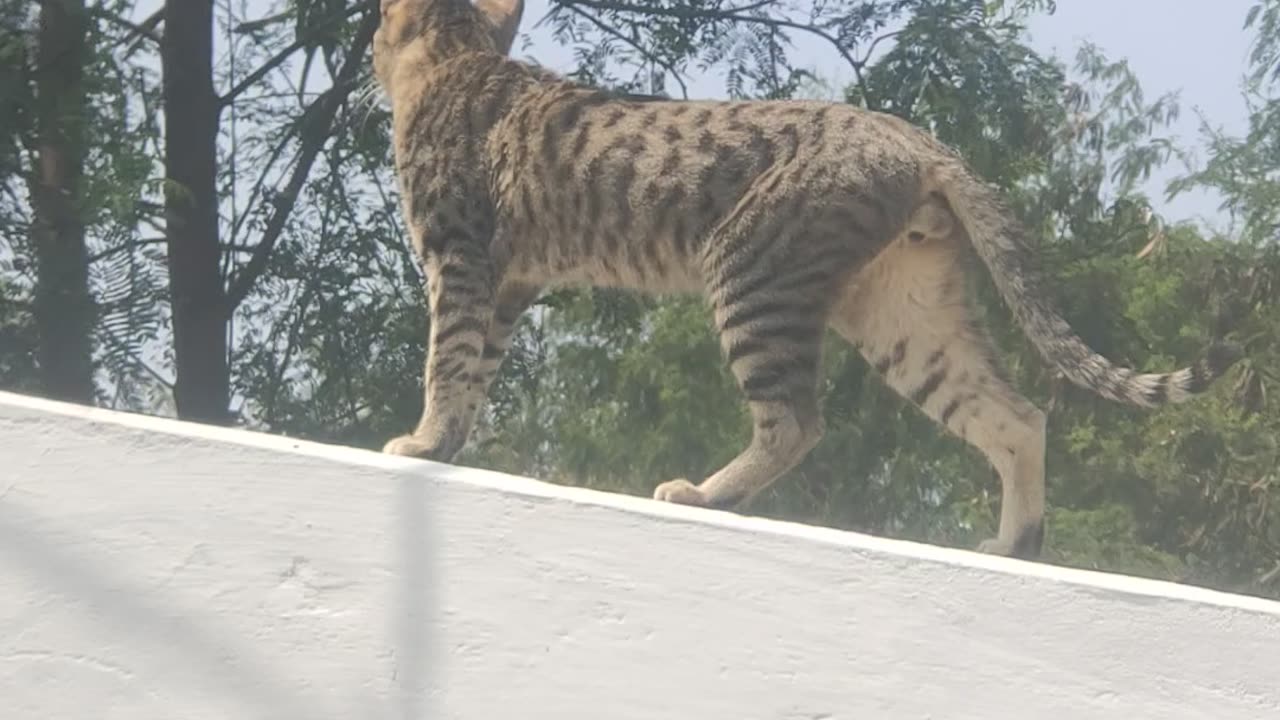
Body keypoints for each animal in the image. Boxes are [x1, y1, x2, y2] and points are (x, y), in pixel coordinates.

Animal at [371, 0, 1239, 556]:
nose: (375, 36)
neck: (460, 57)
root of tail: (921, 140)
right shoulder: (509, 284)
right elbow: (473, 374)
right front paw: (447, 445)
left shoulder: (460, 261)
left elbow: (446, 362)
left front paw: (421, 443)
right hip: (905, 322)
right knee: (1018, 415)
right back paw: (1013, 542)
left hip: (752, 276)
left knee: (795, 421)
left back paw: (707, 491)